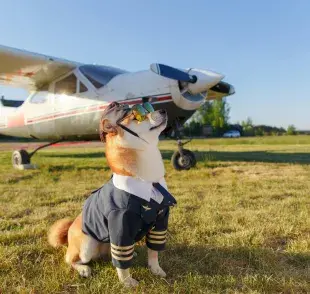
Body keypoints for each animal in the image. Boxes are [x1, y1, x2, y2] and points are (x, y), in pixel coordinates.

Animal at [47, 101, 176, 288]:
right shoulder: (120, 223)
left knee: (111, 255)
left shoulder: (160, 222)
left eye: (149, 108)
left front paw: (156, 269)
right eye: (137, 117)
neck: (149, 182)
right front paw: (127, 281)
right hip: (87, 245)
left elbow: (153, 252)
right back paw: (83, 269)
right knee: (71, 259)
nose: (164, 110)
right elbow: (122, 265)